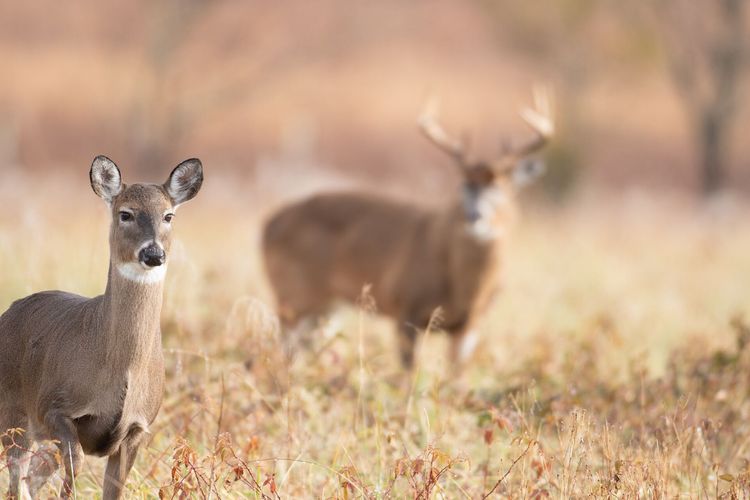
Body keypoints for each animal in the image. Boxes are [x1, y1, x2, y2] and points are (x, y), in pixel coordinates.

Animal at [0, 154, 204, 498]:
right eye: (126, 213)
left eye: (168, 215)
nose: (153, 253)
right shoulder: (54, 407)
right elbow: (75, 467)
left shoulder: (137, 428)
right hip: (13, 414)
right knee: (18, 480)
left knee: (29, 480)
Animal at [262, 89, 556, 368]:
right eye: (463, 187)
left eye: (502, 188)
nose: (475, 216)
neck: (465, 291)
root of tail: (267, 226)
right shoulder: (405, 307)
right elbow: (408, 373)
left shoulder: (470, 325)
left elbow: (456, 376)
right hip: (292, 294)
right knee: (282, 349)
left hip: (327, 307)